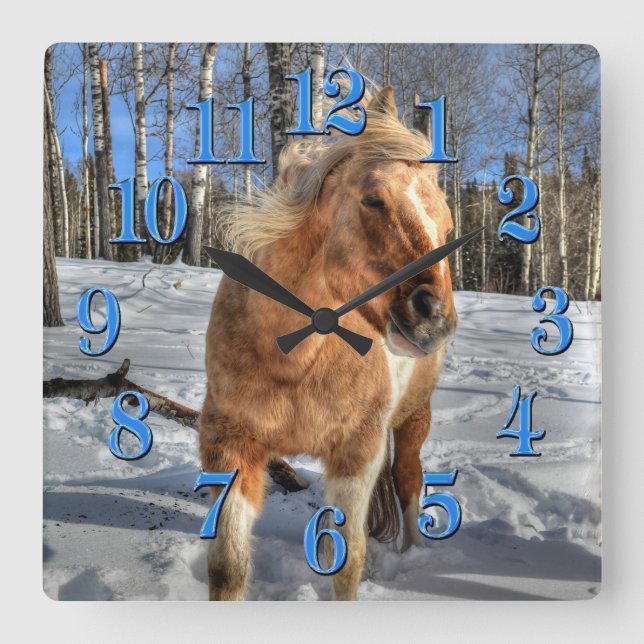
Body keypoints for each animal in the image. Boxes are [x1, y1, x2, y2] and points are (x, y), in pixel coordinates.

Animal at [200, 86, 457, 601]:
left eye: (447, 226)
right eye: (373, 199)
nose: (434, 318)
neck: (295, 359)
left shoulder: (356, 453)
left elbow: (346, 563)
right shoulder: (230, 445)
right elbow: (228, 568)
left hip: (414, 418)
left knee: (408, 479)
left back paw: (414, 553)